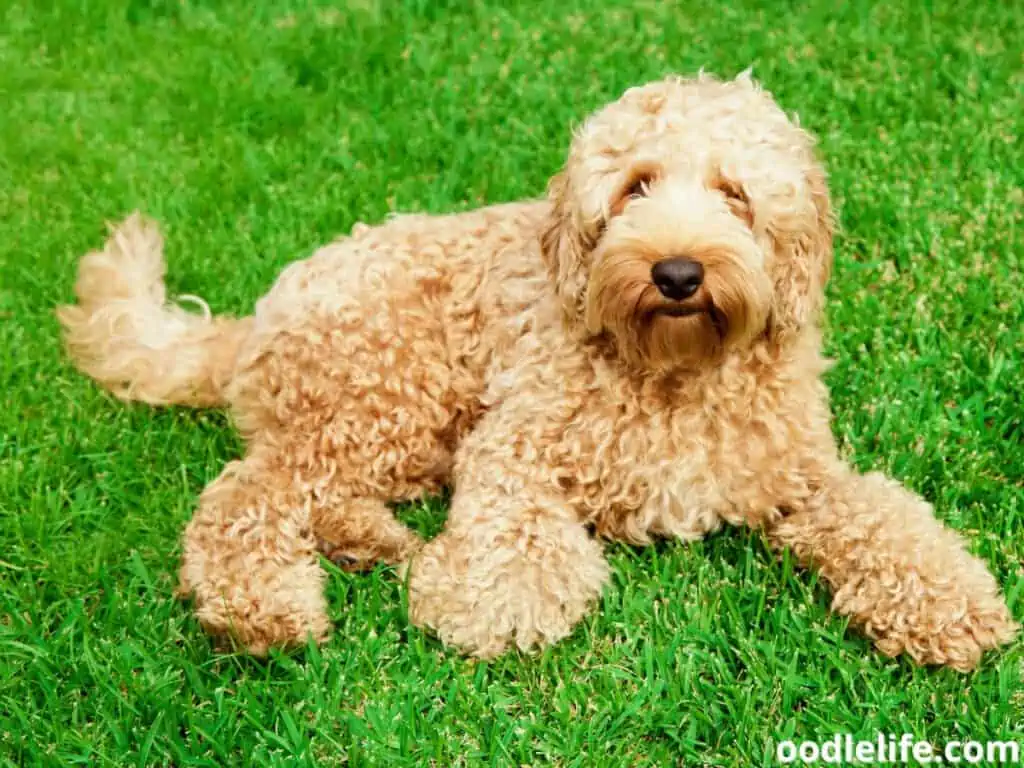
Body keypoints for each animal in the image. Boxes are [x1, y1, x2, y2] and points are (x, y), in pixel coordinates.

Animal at [61, 75, 1015, 671]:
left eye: (736, 194)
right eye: (635, 187)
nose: (677, 272)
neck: (672, 370)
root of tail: (258, 315)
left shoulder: (800, 476)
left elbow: (885, 518)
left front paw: (952, 605)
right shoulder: (515, 442)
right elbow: (512, 530)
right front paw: (495, 604)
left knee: (307, 494)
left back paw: (375, 543)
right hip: (386, 393)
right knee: (245, 497)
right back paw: (265, 611)